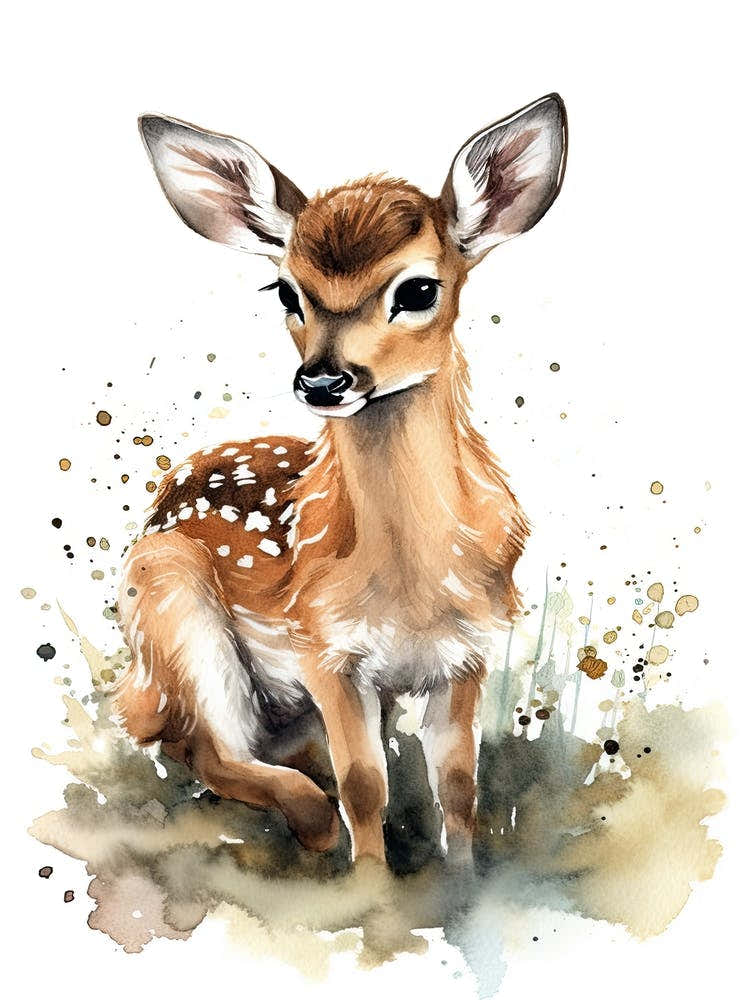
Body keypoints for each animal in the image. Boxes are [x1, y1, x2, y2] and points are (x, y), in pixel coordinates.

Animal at [115, 94, 567, 864]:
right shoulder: (324, 647)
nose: (323, 380)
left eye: (419, 288)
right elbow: (365, 786)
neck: (412, 587)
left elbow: (458, 785)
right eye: (284, 291)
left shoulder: (469, 651)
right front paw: (371, 882)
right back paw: (311, 820)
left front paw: (466, 874)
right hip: (169, 600)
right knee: (204, 748)